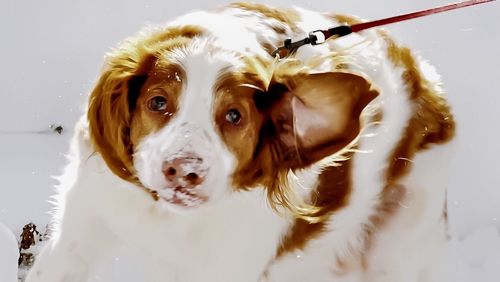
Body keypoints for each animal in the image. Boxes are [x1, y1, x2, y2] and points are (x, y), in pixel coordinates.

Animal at [26, 2, 458, 282]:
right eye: (158, 102)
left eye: (234, 116)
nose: (184, 170)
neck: (165, 218)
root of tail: (425, 76)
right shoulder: (80, 229)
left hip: (399, 242)